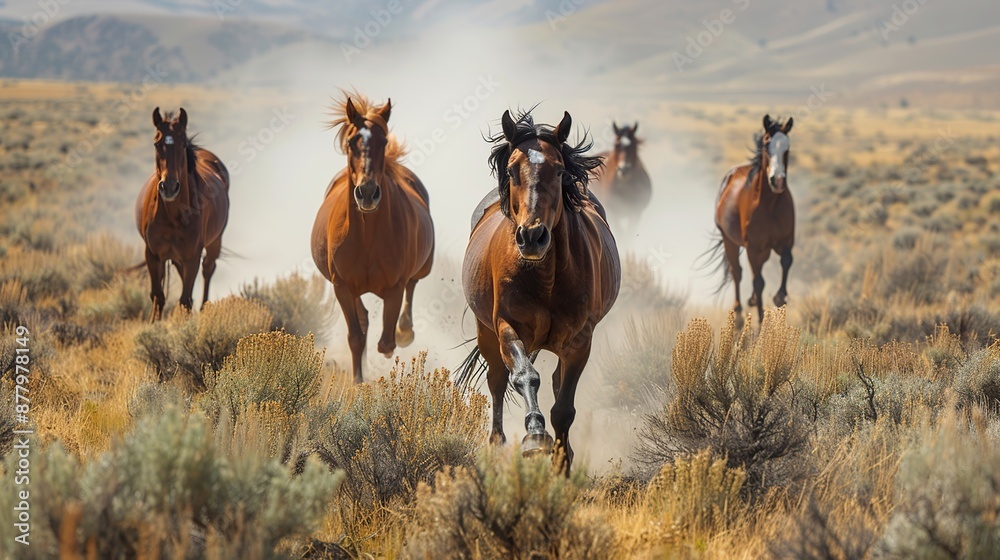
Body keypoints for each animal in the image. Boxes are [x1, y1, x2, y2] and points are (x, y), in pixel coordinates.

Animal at [136, 107, 230, 322]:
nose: (169, 187)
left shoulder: (192, 256)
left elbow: (185, 300)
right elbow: (157, 295)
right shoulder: (152, 254)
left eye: (182, 144)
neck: (171, 217)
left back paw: (204, 310)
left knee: (208, 270)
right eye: (157, 143)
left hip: (214, 242)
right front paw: (153, 324)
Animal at [311, 92, 434, 384]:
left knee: (412, 286)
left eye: (384, 141)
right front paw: (358, 381)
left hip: (423, 267)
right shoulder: (341, 286)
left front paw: (399, 338)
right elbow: (356, 336)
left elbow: (387, 342)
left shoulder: (394, 288)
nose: (367, 193)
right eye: (351, 142)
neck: (367, 237)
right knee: (364, 319)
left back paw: (405, 331)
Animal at [458, 108, 620, 473]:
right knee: (497, 382)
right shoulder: (506, 326)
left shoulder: (580, 340)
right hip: (486, 333)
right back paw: (497, 446)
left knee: (557, 384)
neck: (545, 277)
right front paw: (534, 435)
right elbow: (525, 376)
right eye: (511, 170)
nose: (532, 236)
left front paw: (561, 463)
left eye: (559, 170)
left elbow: (564, 408)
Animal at [706, 114, 795, 326]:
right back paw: (738, 313)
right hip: (730, 241)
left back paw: (752, 301)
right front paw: (762, 320)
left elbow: (787, 261)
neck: (770, 204)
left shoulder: (786, 241)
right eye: (767, 144)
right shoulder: (754, 248)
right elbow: (759, 281)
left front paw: (779, 297)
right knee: (737, 272)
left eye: (787, 147)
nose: (778, 181)